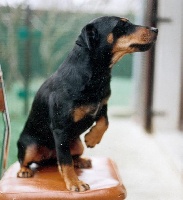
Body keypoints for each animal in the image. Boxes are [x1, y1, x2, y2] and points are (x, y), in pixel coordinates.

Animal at [16, 16, 157, 192]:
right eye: (122, 24)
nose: (155, 29)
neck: (96, 74)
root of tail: (48, 157)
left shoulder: (102, 106)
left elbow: (105, 122)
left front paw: (92, 139)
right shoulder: (61, 129)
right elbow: (65, 161)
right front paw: (75, 183)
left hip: (77, 144)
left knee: (72, 156)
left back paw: (82, 161)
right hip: (30, 146)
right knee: (26, 159)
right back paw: (24, 171)